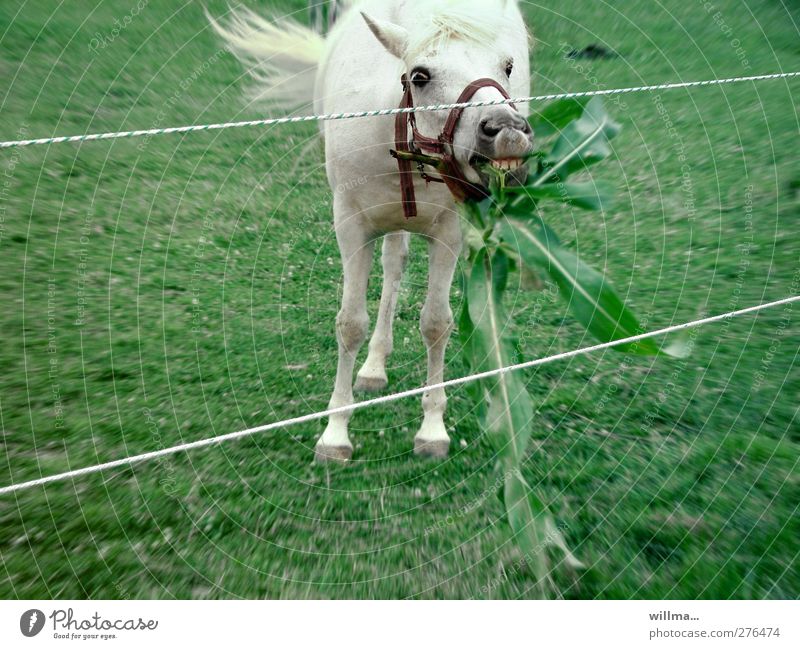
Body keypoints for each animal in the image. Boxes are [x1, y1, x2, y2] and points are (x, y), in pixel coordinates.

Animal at [216, 2, 536, 464]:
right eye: (419, 75)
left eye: (507, 67)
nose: (507, 130)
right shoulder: (351, 225)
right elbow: (350, 323)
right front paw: (335, 433)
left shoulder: (450, 232)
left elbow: (436, 323)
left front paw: (432, 428)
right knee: (393, 265)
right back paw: (372, 368)